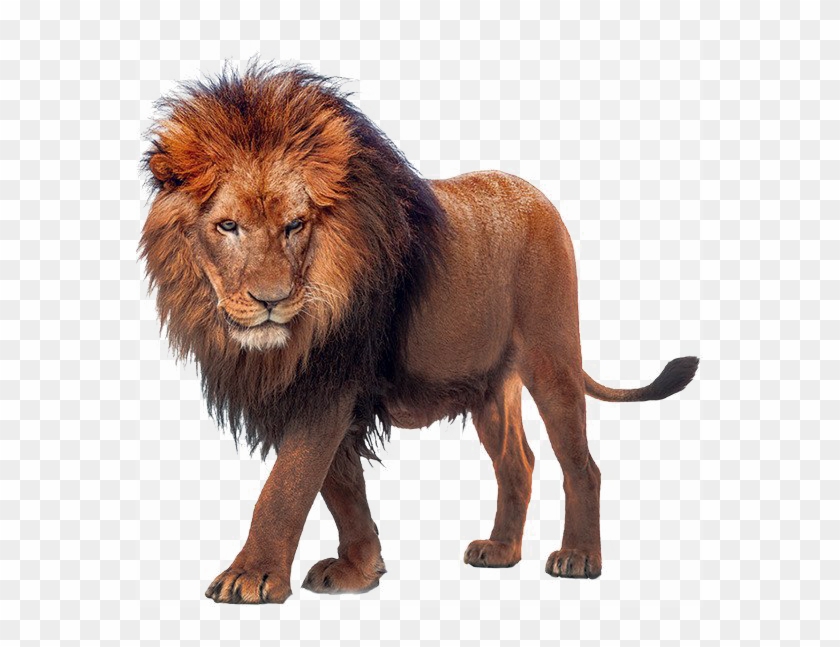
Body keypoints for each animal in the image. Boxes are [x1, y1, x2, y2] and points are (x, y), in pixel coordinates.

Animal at [141, 63, 699, 604]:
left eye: (295, 225)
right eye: (227, 226)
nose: (271, 301)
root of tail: (539, 197)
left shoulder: (330, 382)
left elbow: (287, 486)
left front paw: (251, 576)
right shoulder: (313, 390)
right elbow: (341, 487)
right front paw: (360, 570)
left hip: (552, 356)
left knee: (582, 465)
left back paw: (579, 558)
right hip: (490, 387)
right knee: (517, 463)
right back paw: (500, 551)